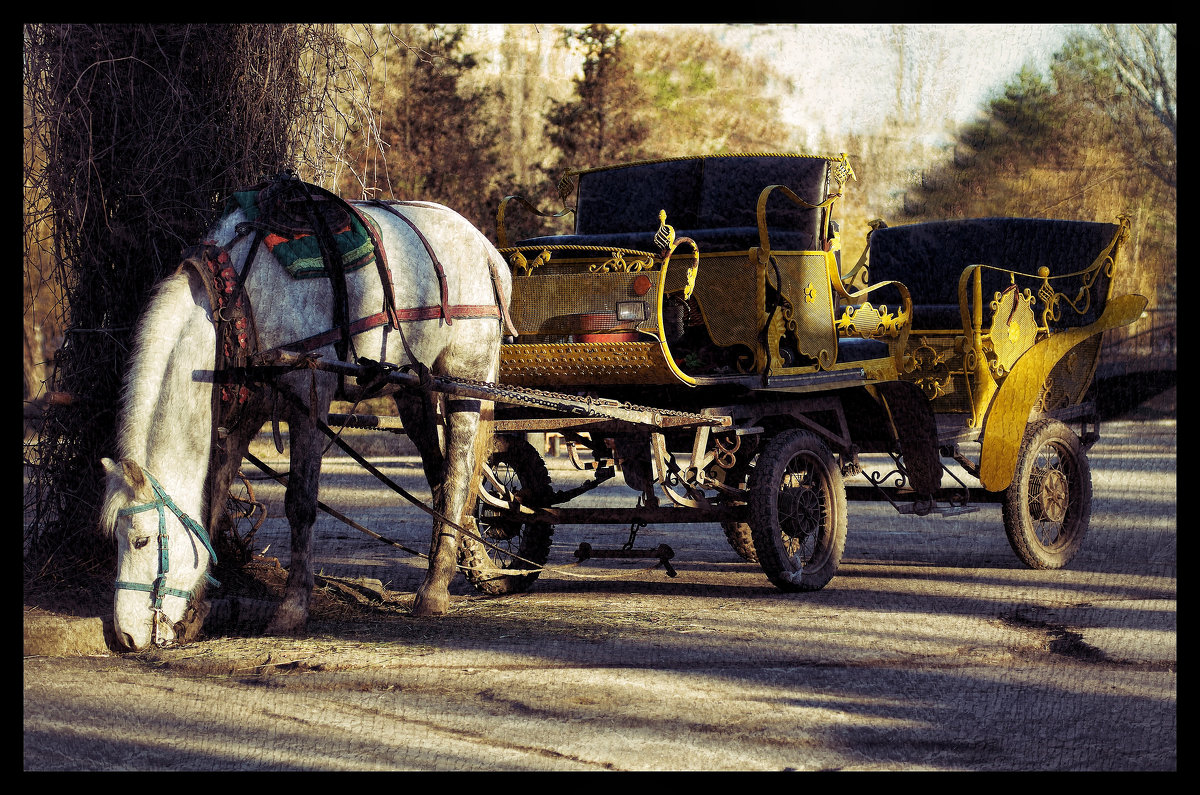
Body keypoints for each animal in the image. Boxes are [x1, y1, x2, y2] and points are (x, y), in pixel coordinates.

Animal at [100, 182, 508, 653]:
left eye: (141, 540)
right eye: (115, 540)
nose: (125, 635)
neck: (241, 298)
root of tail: (485, 248)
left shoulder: (307, 400)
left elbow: (300, 505)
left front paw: (293, 607)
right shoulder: (248, 411)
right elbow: (215, 498)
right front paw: (198, 610)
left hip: (464, 381)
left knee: (458, 475)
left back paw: (435, 590)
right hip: (414, 387)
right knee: (440, 476)